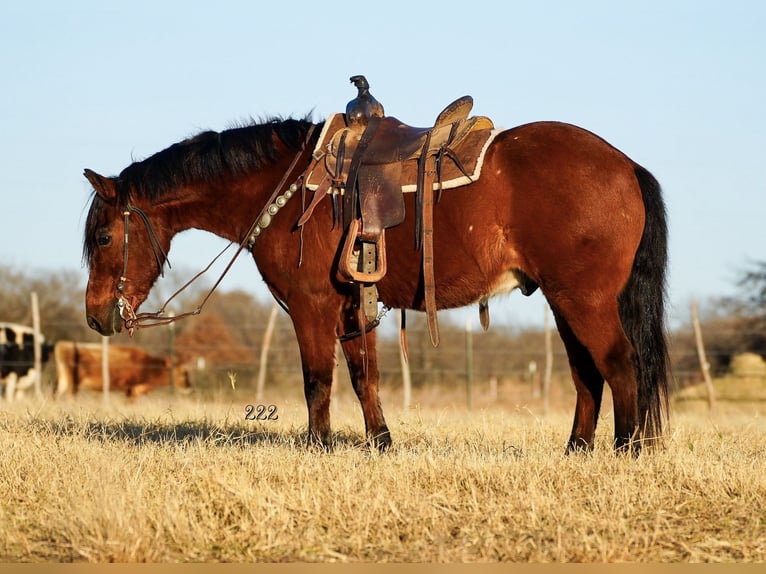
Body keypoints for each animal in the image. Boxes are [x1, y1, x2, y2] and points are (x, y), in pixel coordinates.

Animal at [53, 342, 190, 400]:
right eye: (182, 373)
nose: (188, 387)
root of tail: (62, 344)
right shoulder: (131, 389)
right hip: (73, 383)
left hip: (63, 381)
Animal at [84, 115, 668, 454]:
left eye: (105, 235)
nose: (95, 315)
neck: (290, 187)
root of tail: (626, 166)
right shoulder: (351, 310)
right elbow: (365, 377)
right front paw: (381, 443)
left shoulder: (311, 307)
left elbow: (317, 380)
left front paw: (317, 448)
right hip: (563, 302)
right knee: (587, 374)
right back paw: (577, 450)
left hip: (584, 301)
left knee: (619, 364)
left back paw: (627, 451)